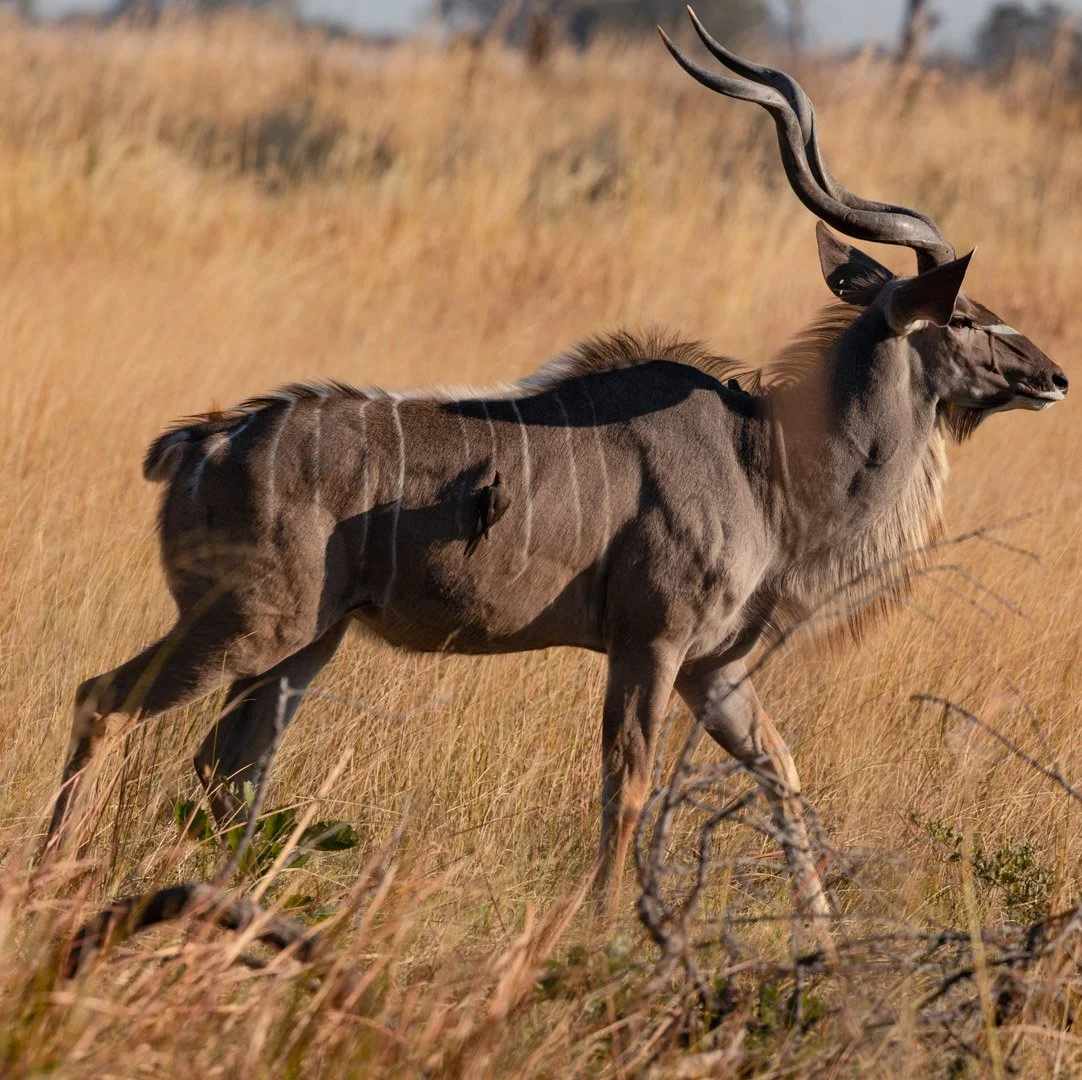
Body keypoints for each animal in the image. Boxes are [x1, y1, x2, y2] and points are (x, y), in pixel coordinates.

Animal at [47, 11, 1068, 922]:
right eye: (966, 314)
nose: (1054, 376)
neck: (766, 466)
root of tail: (198, 444)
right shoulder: (651, 643)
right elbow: (628, 786)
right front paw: (603, 930)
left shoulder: (713, 669)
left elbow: (781, 773)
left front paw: (820, 938)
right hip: (249, 624)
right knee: (105, 702)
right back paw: (59, 872)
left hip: (307, 643)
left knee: (228, 769)